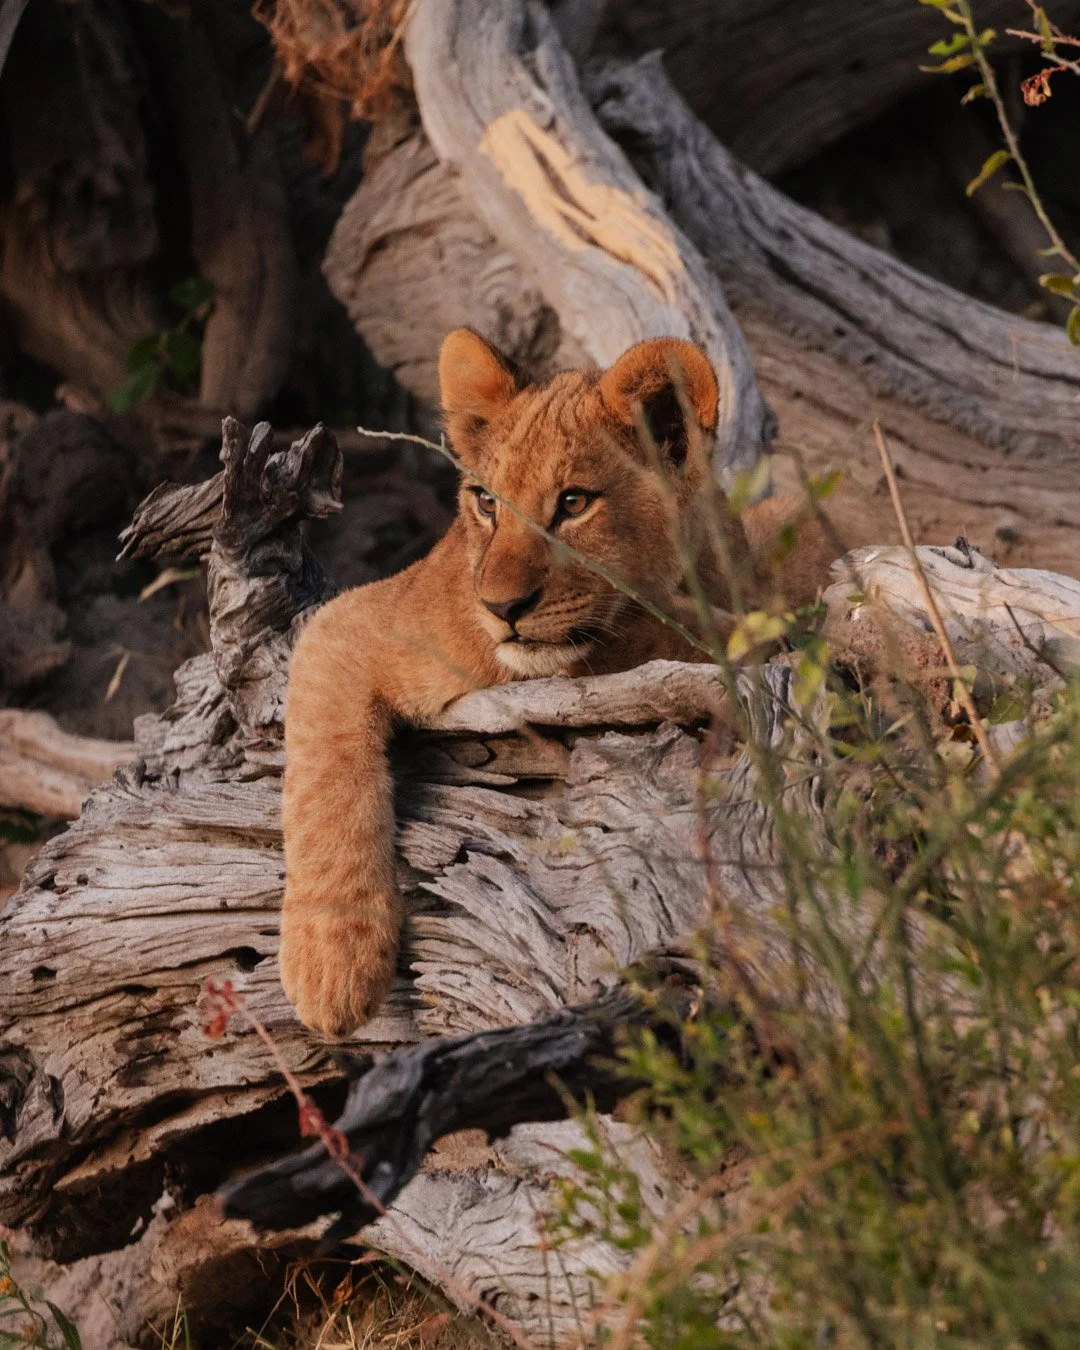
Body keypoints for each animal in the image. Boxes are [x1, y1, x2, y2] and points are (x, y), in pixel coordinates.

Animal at [279, 329, 835, 1037]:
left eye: (574, 503)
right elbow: (326, 782)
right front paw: (331, 964)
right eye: (486, 501)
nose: (501, 607)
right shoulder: (350, 623)